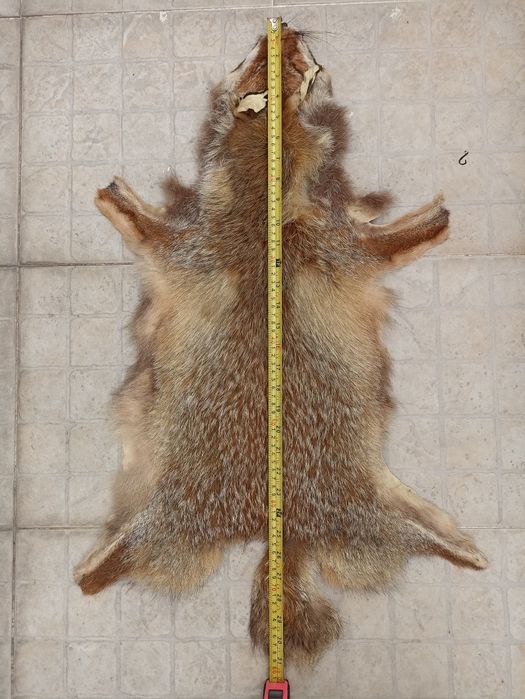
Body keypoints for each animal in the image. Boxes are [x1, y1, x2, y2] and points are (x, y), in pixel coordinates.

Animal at [74, 25, 487, 663]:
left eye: (303, 69)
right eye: (266, 63)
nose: (288, 27)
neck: (270, 207)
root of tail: (278, 531)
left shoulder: (335, 249)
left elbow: (400, 236)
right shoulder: (201, 250)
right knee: (95, 579)